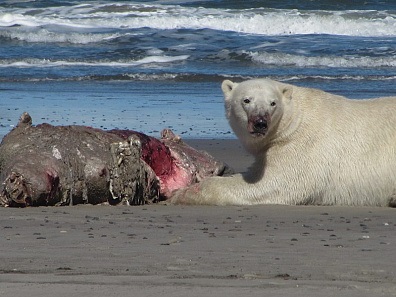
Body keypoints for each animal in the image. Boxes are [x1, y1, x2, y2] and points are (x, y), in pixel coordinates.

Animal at [172, 77, 396, 205]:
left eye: (272, 103)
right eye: (246, 100)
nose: (260, 123)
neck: (294, 119)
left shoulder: (301, 146)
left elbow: (272, 182)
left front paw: (182, 194)